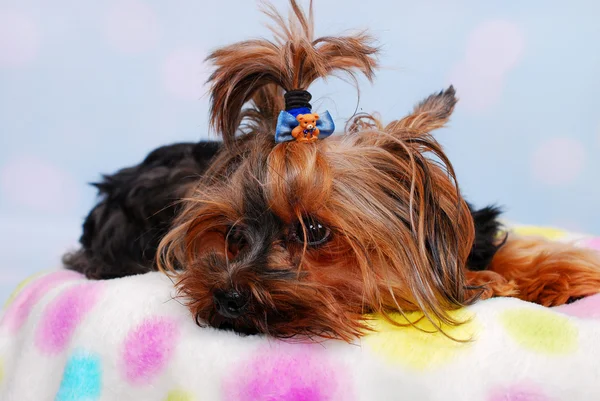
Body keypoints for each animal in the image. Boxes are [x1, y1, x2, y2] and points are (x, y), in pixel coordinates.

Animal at [64, 0, 600, 340]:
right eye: (233, 234)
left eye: (315, 231)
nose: (229, 297)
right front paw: (491, 282)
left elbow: (504, 249)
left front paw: (560, 274)